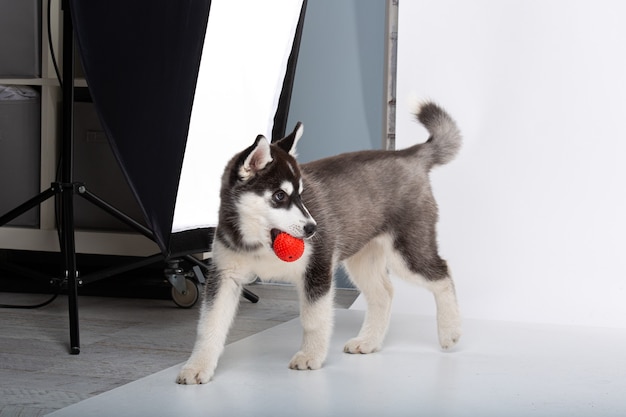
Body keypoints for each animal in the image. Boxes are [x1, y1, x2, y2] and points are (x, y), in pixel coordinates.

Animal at [178, 101, 460, 384]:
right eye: (279, 196)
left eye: (301, 195)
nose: (313, 228)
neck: (262, 244)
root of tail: (408, 154)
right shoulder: (224, 275)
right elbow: (209, 324)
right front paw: (197, 366)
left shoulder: (318, 268)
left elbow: (313, 319)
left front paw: (310, 356)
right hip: (363, 258)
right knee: (384, 292)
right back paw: (368, 341)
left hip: (406, 251)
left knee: (443, 273)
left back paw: (450, 330)